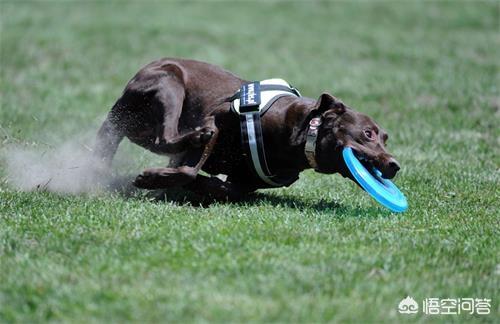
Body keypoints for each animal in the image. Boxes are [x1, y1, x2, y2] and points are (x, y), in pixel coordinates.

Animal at [94, 58, 400, 200]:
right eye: (368, 133)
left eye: (385, 138)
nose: (395, 165)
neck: (301, 138)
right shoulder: (216, 118)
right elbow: (189, 167)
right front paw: (150, 179)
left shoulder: (245, 181)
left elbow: (223, 187)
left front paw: (195, 185)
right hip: (170, 85)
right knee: (166, 137)